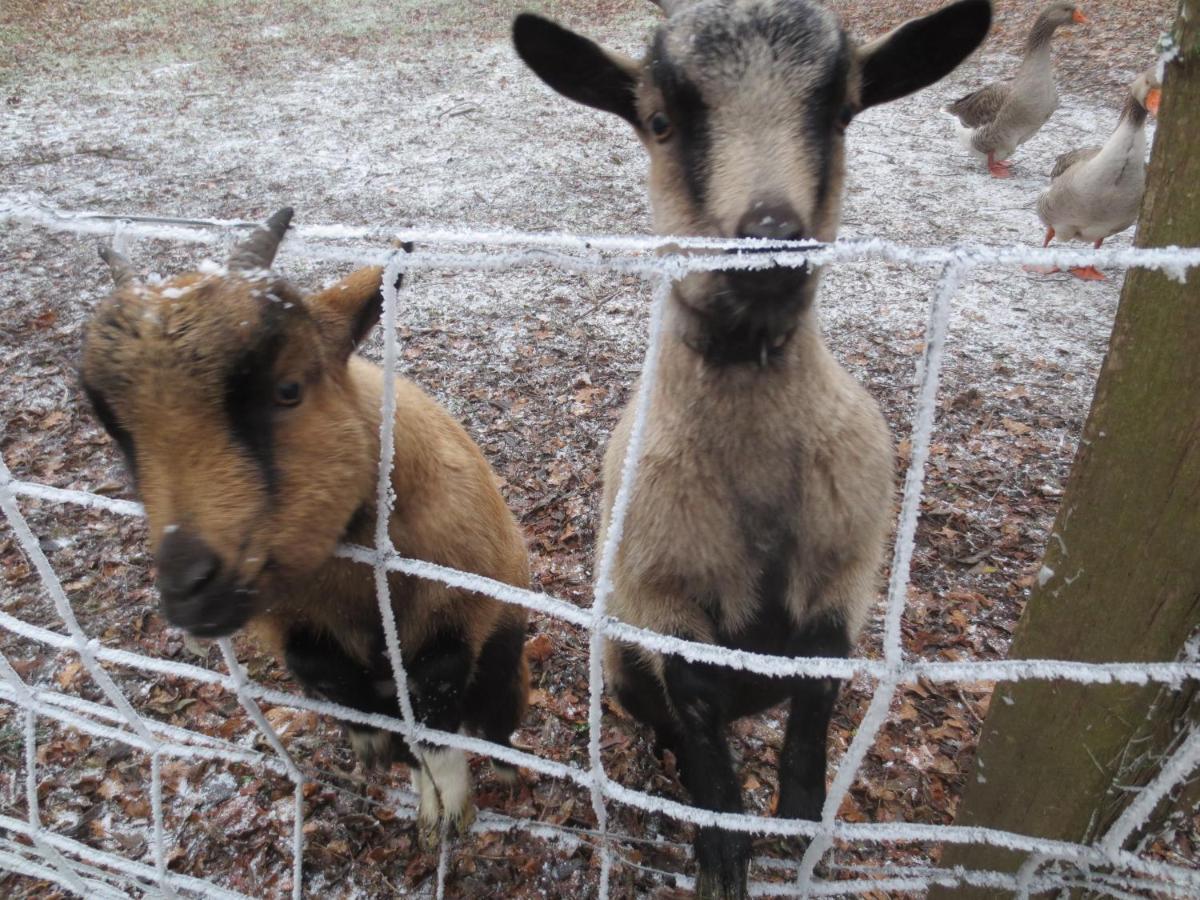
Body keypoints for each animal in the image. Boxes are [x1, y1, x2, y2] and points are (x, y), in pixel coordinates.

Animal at [82, 210, 532, 844]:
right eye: (115, 427)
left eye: (288, 389)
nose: (187, 590)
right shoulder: (286, 622)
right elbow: (322, 671)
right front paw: (375, 743)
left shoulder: (459, 609)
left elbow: (434, 698)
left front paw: (446, 803)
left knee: (494, 722)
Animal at [516, 0, 993, 897]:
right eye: (659, 121)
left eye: (843, 112)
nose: (770, 238)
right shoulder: (662, 595)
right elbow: (701, 730)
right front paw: (722, 851)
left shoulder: (844, 572)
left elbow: (817, 704)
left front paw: (799, 825)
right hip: (620, 661)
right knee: (668, 723)